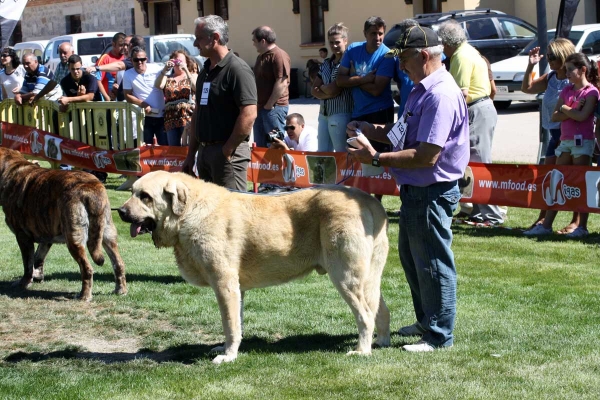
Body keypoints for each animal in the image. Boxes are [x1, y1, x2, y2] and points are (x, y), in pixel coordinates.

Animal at [0, 147, 125, 300]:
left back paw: (84, 296)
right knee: (118, 263)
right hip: (107, 234)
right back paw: (120, 290)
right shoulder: (46, 235)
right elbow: (38, 257)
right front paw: (38, 276)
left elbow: (28, 263)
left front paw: (24, 282)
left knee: (87, 268)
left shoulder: (22, 236)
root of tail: (91, 188)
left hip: (74, 238)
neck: (10, 169)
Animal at [119, 170, 392, 364]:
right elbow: (236, 322)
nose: (121, 211)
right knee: (381, 311)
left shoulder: (224, 284)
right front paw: (229, 349)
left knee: (365, 315)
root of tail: (367, 200)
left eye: (145, 196)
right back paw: (381, 342)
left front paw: (228, 356)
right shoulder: (237, 288)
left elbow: (229, 323)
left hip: (345, 277)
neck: (189, 212)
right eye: (132, 192)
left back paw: (362, 351)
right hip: (368, 279)